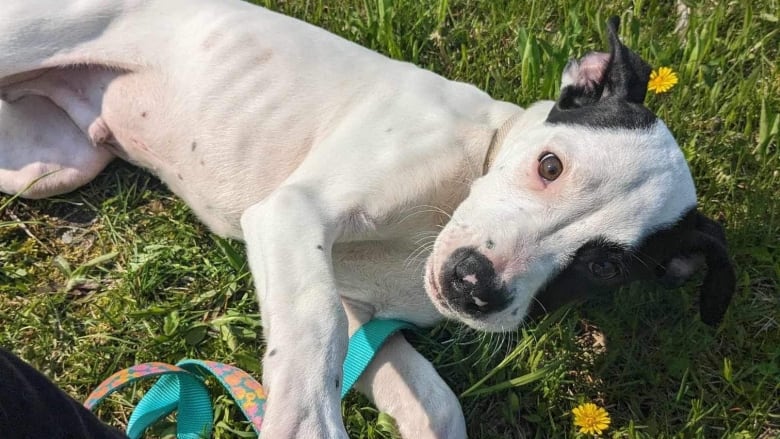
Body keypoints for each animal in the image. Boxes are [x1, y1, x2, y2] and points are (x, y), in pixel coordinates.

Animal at [0, 1, 736, 438]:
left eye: (606, 265)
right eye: (550, 165)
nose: (474, 284)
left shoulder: (361, 309)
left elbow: (434, 401)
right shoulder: (294, 216)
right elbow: (314, 335)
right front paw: (303, 423)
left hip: (54, 162)